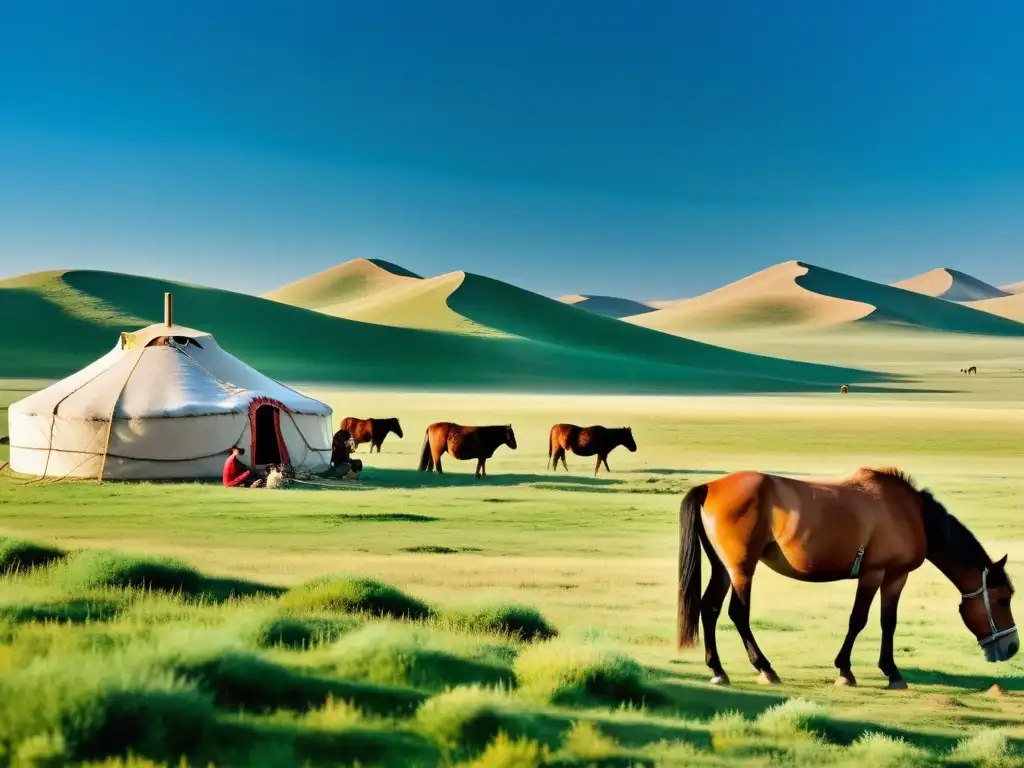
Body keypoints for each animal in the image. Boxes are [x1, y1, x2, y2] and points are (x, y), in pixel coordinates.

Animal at [675, 468, 1019, 692]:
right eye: (1003, 599)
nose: (1013, 647)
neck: (912, 515)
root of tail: (709, 487)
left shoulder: (892, 577)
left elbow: (887, 621)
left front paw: (890, 672)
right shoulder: (878, 573)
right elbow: (861, 620)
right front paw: (848, 670)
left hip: (723, 568)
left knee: (710, 608)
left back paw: (717, 669)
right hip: (742, 569)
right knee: (738, 613)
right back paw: (765, 668)